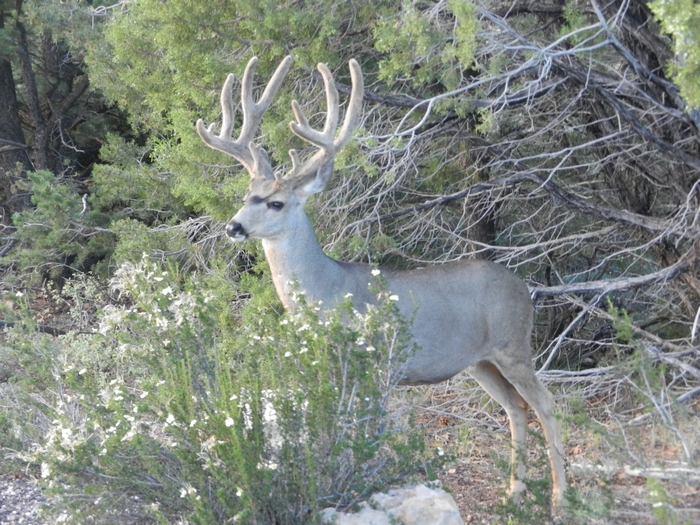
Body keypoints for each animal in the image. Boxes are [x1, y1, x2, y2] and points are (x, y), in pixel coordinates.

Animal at [196, 56, 567, 508]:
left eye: (276, 202)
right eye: (246, 196)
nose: (233, 227)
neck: (328, 291)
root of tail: (525, 288)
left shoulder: (372, 362)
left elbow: (358, 431)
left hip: (513, 344)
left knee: (546, 403)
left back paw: (560, 497)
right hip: (479, 361)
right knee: (516, 407)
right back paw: (514, 491)